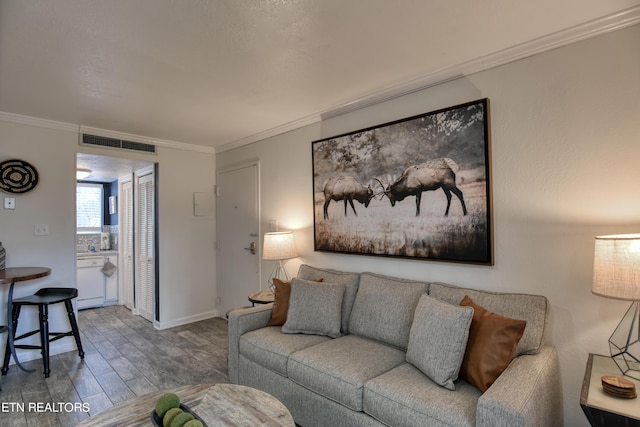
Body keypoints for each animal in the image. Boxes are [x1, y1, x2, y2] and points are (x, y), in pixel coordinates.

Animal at [322, 159, 468, 222]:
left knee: (459, 193)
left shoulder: (418, 190)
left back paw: (465, 213)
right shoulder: (419, 190)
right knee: (450, 196)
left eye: (389, 195)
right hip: (445, 185)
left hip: (448, 183)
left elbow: (417, 203)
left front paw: (417, 214)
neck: (406, 185)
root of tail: (453, 169)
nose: (392, 204)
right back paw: (446, 214)